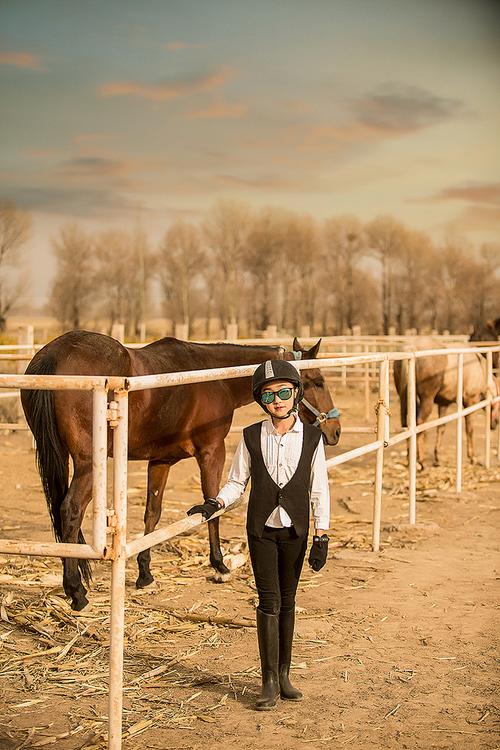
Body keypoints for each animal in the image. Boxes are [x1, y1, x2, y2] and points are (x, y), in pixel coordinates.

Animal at [19, 334, 340, 612]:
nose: (335, 431)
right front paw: (220, 566)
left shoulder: (161, 461)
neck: (215, 377)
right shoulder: (212, 452)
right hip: (89, 465)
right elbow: (213, 506)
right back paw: (76, 591)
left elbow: (152, 514)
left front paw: (145, 573)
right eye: (318, 381)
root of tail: (53, 356)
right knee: (70, 511)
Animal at [396, 340, 498, 470]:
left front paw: (437, 458)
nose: (495, 424)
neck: (481, 370)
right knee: (419, 423)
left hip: (404, 398)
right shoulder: (470, 401)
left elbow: (441, 428)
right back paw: (420, 461)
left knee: (406, 424)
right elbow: (469, 429)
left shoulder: (443, 404)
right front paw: (473, 458)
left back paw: (410, 459)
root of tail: (411, 348)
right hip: (426, 400)